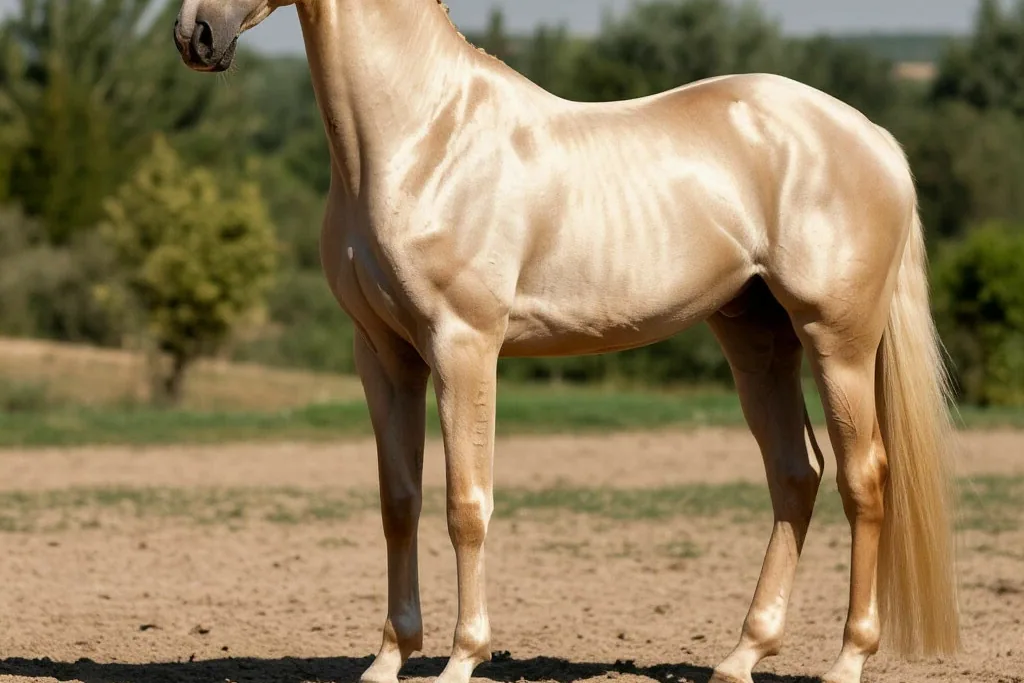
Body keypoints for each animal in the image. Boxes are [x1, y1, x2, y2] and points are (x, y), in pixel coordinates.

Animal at [172, 1, 960, 682]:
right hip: (755, 338)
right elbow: (399, 502)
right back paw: (741, 656)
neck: (423, 137)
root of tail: (875, 138)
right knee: (796, 475)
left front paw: (462, 658)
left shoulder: (463, 345)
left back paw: (847, 659)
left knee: (864, 479)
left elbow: (466, 504)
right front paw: (389, 659)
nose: (196, 34)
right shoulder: (383, 355)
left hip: (838, 341)